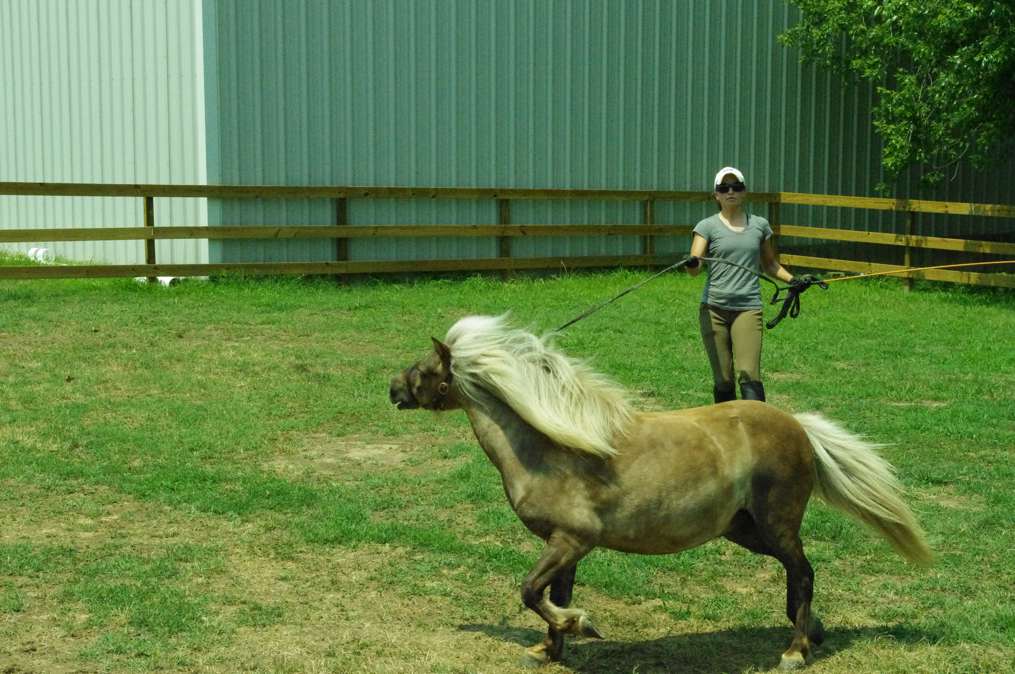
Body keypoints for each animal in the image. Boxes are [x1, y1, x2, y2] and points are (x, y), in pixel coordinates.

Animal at [385, 314, 929, 669]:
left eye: (423, 371)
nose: (392, 390)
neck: (550, 449)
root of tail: (796, 425)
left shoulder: (572, 540)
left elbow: (530, 591)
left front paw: (582, 625)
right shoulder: (565, 546)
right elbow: (553, 594)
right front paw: (550, 647)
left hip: (776, 523)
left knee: (803, 572)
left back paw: (796, 650)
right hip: (744, 530)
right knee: (797, 575)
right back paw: (812, 631)